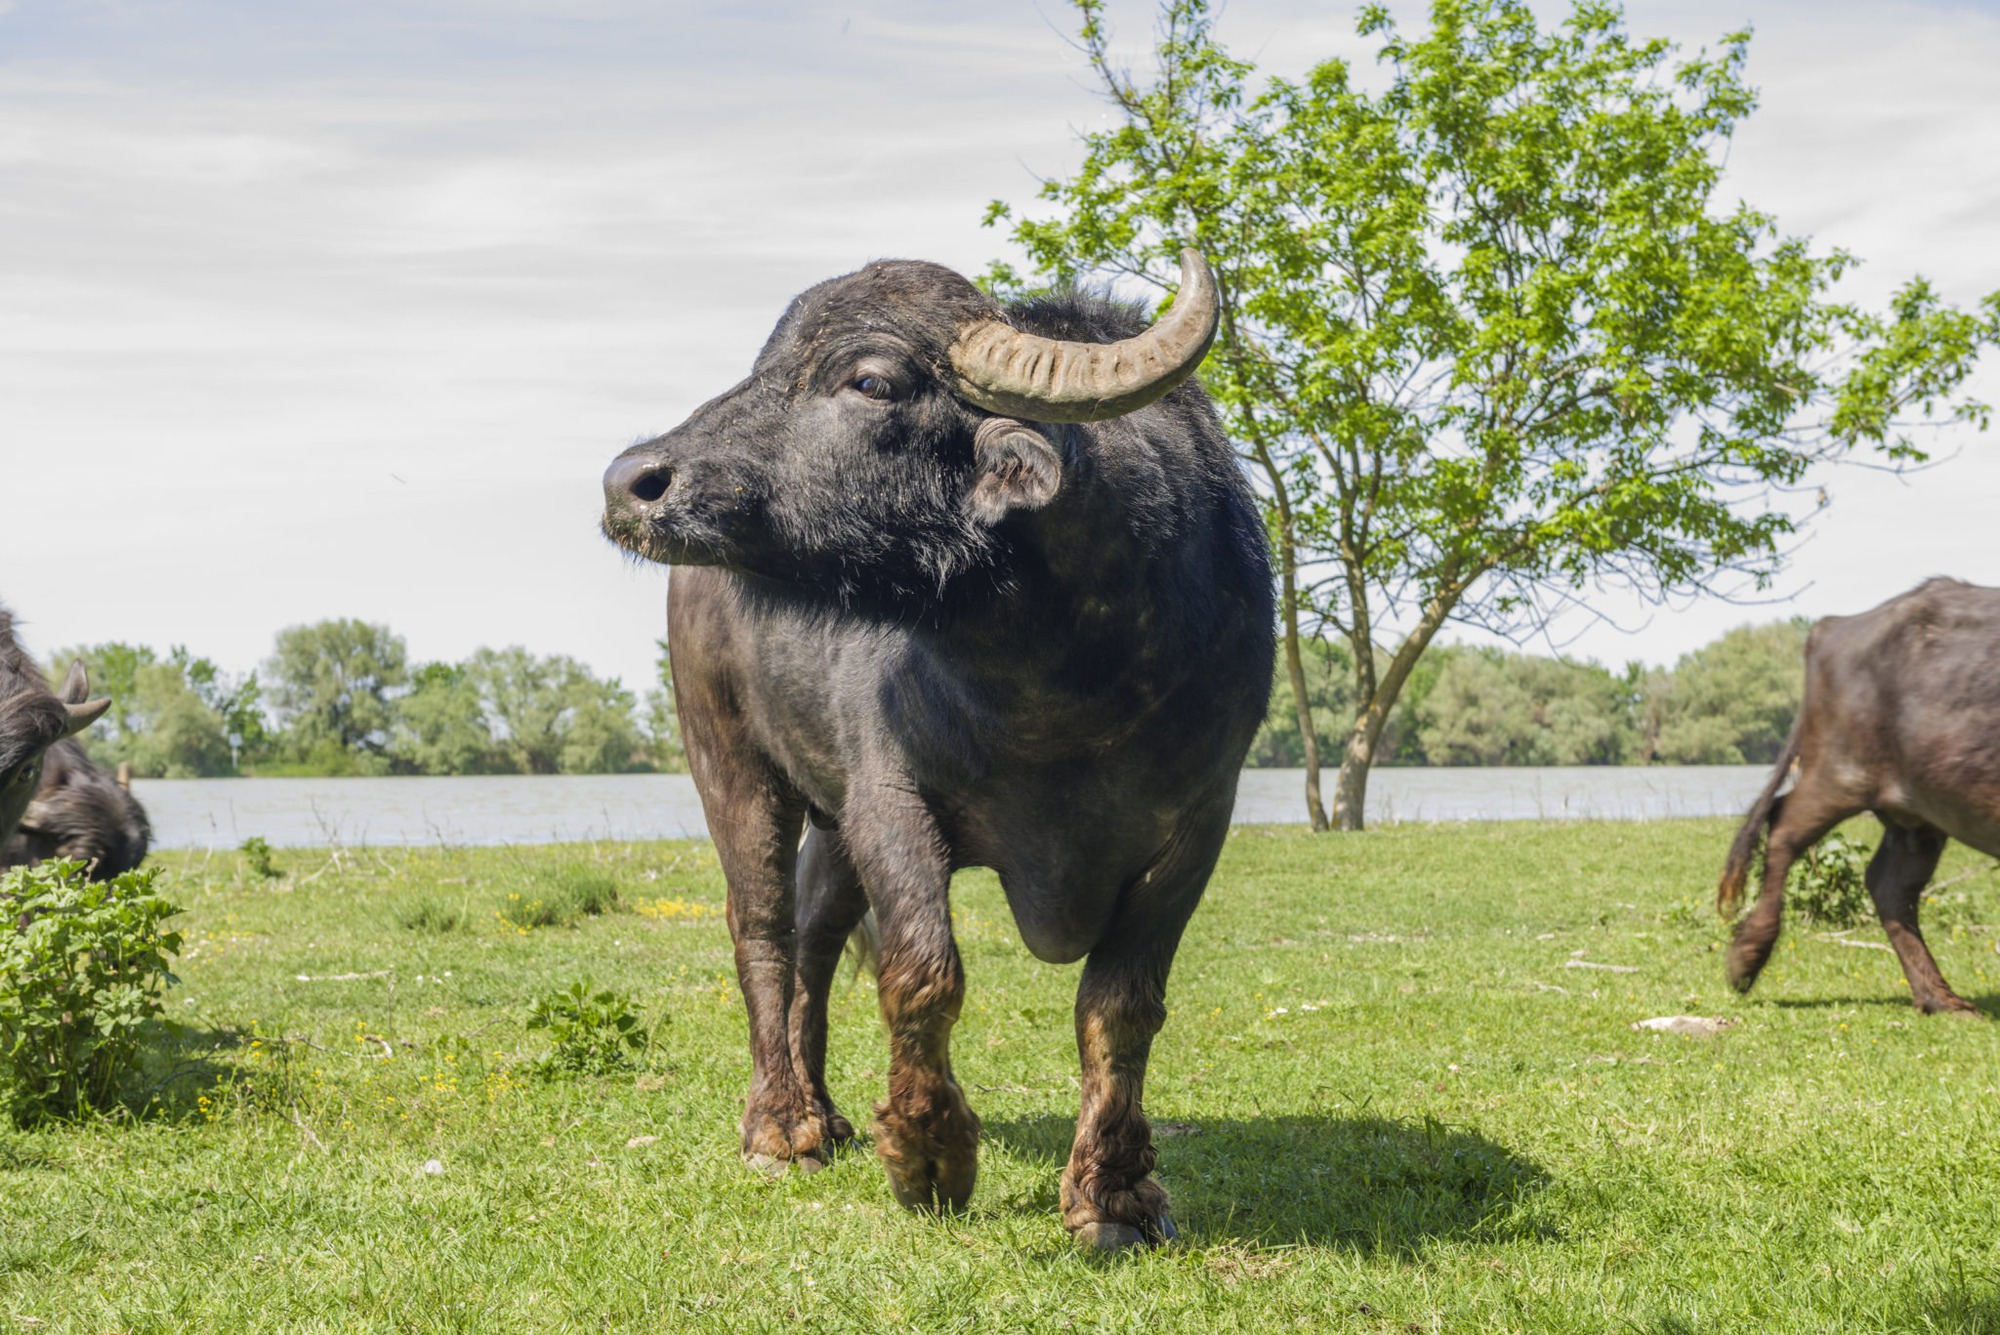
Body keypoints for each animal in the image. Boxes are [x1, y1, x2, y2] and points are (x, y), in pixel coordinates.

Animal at [600, 252, 1272, 1255]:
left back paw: (825, 1111)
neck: (1061, 677)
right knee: (761, 926)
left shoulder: (1197, 825)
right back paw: (779, 1126)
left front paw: (1113, 1195)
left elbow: (1120, 1007)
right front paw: (928, 1154)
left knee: (816, 934)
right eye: (766, 361)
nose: (632, 480)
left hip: (830, 819)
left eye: (871, 382)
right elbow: (923, 970)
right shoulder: (891, 796)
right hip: (728, 757)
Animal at [1720, 579, 2000, 1015]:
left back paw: (1939, 997)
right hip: (1839, 774)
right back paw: (1746, 957)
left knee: (1891, 885)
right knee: (1783, 826)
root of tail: (1834, 626)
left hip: (1917, 815)